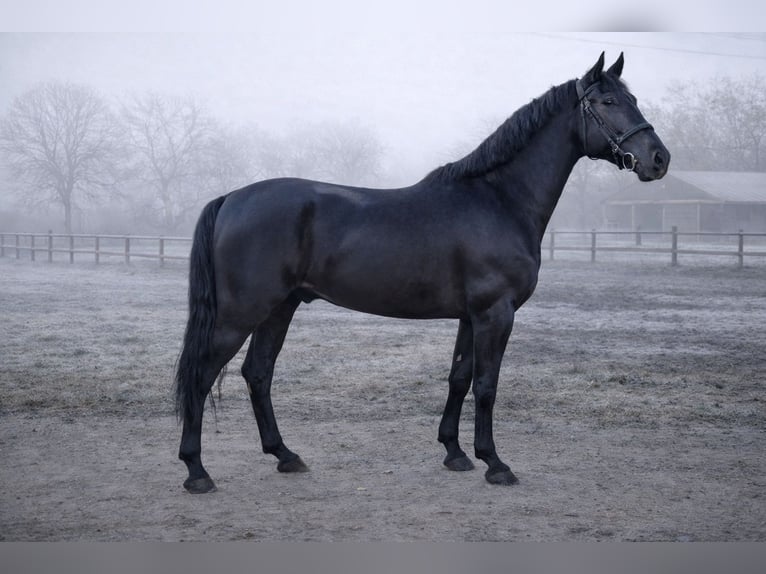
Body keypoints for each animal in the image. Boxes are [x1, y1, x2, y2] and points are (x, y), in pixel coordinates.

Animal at [175, 52, 669, 493]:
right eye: (608, 102)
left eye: (634, 99)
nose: (659, 159)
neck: (499, 200)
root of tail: (231, 198)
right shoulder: (496, 313)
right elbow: (486, 385)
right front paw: (495, 464)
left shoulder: (471, 316)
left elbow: (459, 378)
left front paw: (456, 453)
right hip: (241, 313)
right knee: (201, 375)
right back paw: (196, 471)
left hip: (281, 307)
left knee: (258, 373)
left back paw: (285, 455)